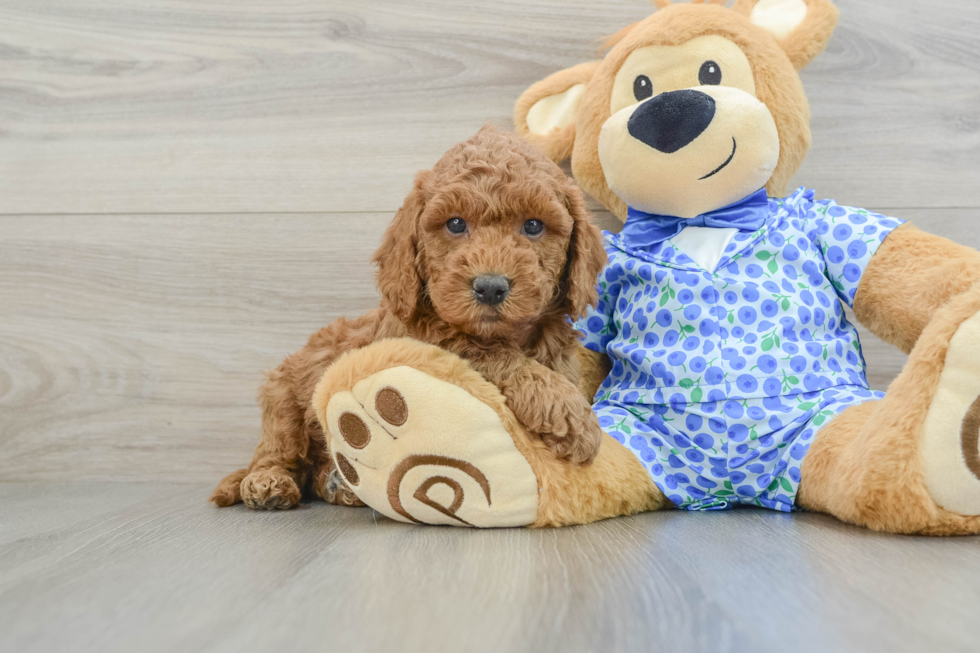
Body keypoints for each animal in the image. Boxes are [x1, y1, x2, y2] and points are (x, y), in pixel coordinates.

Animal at [212, 125, 608, 506]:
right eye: (455, 224)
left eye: (534, 226)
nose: (490, 287)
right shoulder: (429, 345)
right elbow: (495, 357)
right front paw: (571, 416)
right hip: (282, 398)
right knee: (278, 452)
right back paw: (268, 482)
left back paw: (338, 485)